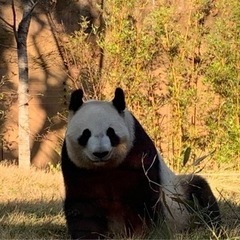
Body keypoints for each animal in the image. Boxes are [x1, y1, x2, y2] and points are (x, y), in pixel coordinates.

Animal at [61, 87, 220, 238]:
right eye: (86, 134)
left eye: (111, 133)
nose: (101, 153)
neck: (104, 167)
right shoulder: (76, 168)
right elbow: (84, 206)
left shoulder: (137, 153)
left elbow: (141, 199)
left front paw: (142, 234)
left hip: (181, 199)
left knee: (200, 192)